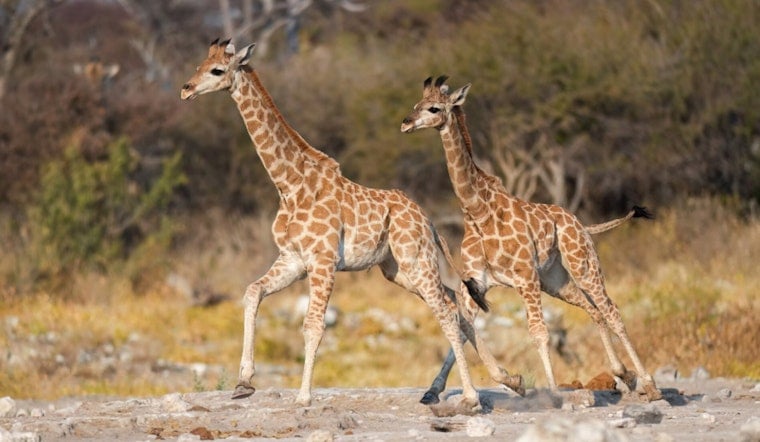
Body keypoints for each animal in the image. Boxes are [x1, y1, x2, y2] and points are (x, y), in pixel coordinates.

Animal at [180, 40, 520, 407]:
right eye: (200, 64)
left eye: (217, 70)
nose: (186, 89)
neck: (290, 184)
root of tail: (427, 220)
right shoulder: (293, 259)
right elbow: (252, 291)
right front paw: (243, 382)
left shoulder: (323, 261)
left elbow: (313, 325)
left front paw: (303, 397)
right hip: (398, 269)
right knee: (455, 300)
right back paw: (509, 379)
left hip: (415, 259)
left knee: (444, 309)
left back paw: (471, 396)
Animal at [401, 76, 662, 402]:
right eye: (416, 104)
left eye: (434, 108)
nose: (406, 123)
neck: (478, 211)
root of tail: (582, 224)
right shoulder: (475, 283)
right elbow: (462, 326)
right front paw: (437, 391)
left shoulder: (525, 277)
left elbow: (538, 332)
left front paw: (550, 391)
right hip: (556, 280)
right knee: (594, 310)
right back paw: (623, 373)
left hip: (582, 264)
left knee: (611, 309)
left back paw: (649, 384)